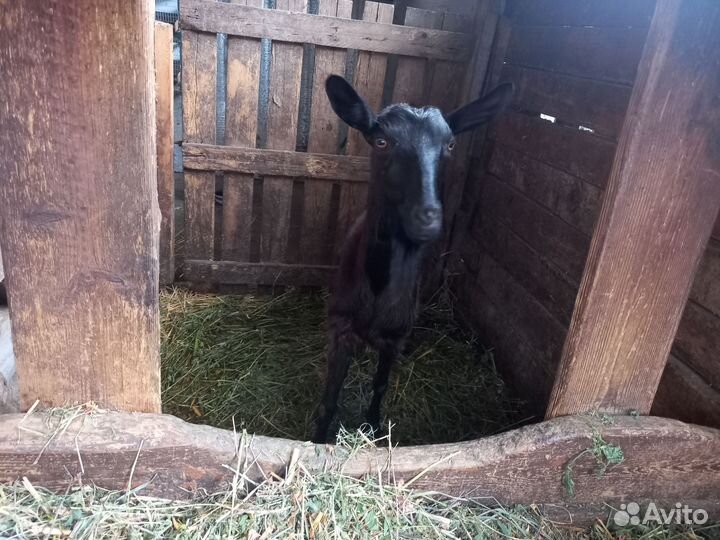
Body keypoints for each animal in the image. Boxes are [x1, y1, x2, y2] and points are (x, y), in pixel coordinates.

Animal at [312, 75, 513, 443]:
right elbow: (330, 397)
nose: (427, 218)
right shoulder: (341, 327)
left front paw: (375, 429)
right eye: (380, 141)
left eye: (450, 144)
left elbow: (380, 386)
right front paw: (318, 438)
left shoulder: (396, 336)